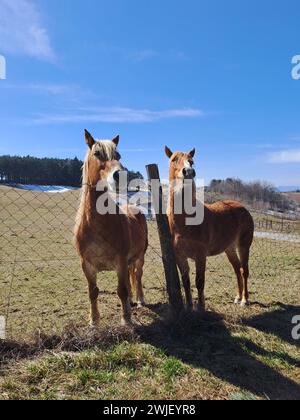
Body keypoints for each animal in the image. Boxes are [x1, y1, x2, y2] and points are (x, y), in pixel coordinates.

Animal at [74, 130, 148, 326]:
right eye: (97, 153)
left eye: (118, 155)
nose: (120, 175)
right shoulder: (87, 265)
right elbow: (93, 292)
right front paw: (94, 321)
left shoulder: (120, 261)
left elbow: (121, 289)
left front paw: (127, 319)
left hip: (139, 257)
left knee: (137, 276)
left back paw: (140, 300)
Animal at [165, 146, 254, 310]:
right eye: (174, 159)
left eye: (192, 161)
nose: (189, 172)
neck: (186, 220)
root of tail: (242, 207)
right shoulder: (180, 256)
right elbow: (186, 282)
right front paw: (189, 307)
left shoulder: (201, 256)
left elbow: (199, 282)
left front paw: (201, 308)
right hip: (229, 248)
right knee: (237, 269)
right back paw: (238, 297)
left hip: (243, 246)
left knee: (244, 270)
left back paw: (244, 300)